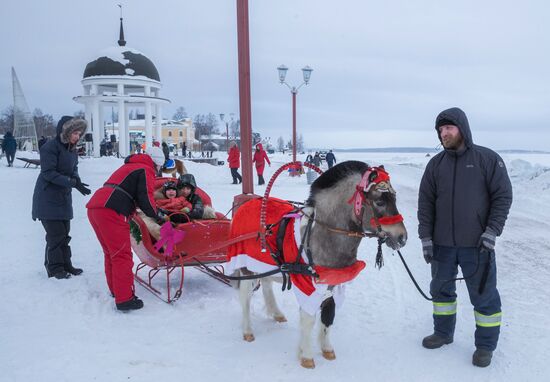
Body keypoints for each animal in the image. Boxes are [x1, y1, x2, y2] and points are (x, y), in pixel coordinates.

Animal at [225, 160, 410, 368]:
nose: (402, 237)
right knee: (245, 298)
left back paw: (276, 313)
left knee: (266, 285)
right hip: (246, 267)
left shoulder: (334, 283)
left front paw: (326, 349)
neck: (322, 233)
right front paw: (306, 356)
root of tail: (246, 203)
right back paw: (248, 330)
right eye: (379, 201)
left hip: (265, 265)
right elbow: (308, 320)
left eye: (394, 198)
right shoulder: (308, 285)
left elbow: (328, 317)